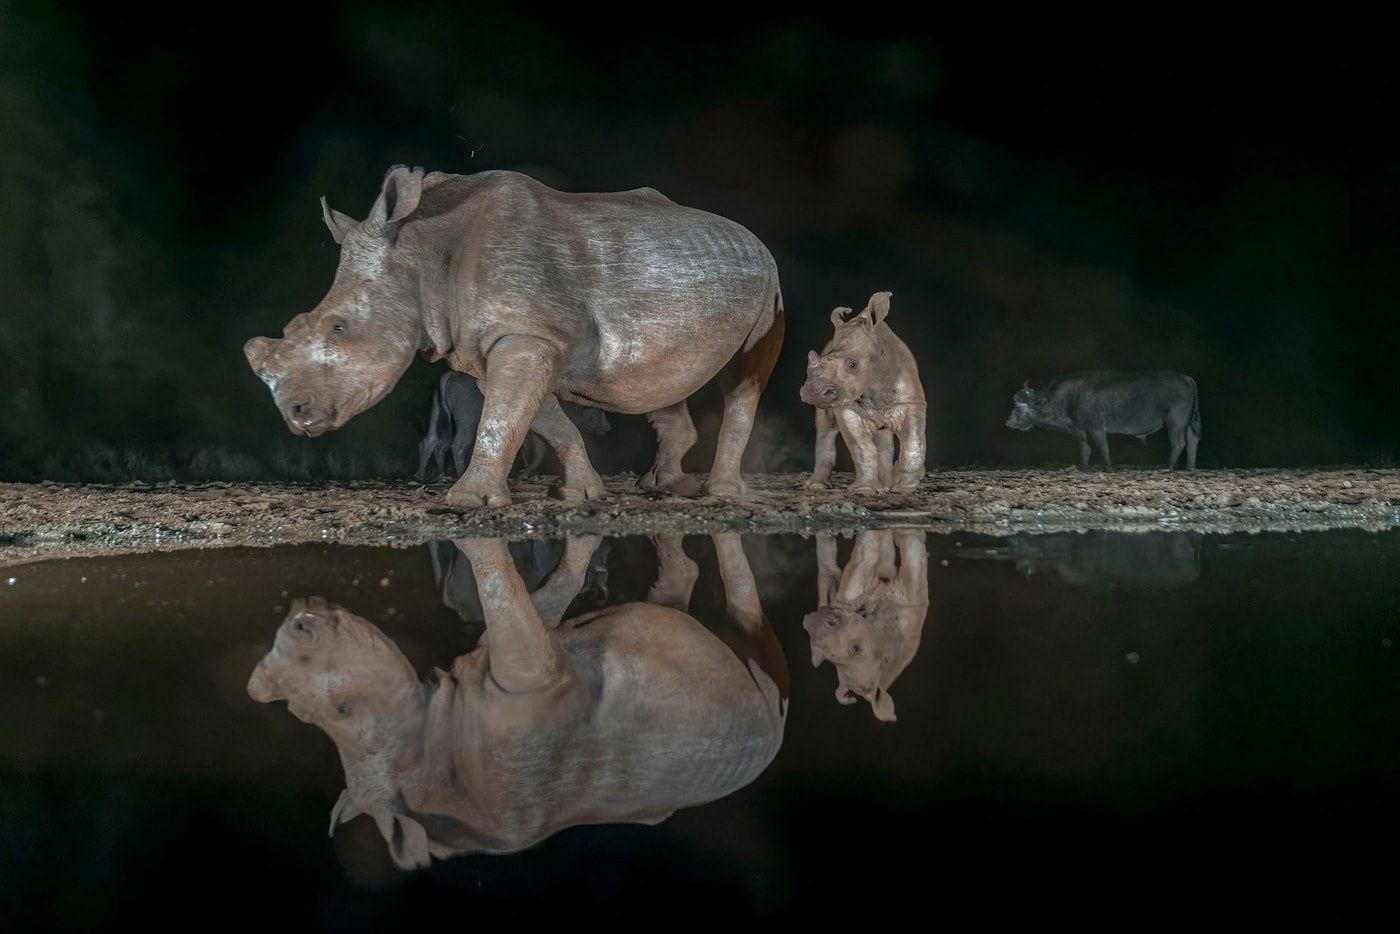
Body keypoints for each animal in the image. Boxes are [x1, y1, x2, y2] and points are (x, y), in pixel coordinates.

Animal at [247, 533, 787, 868]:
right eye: (344, 709)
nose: (298, 619)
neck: (426, 751)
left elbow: (524, 604)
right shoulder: (534, 683)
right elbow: (515, 605)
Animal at [416, 371, 611, 480]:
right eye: (598, 412)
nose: (608, 427)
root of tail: (451, 375)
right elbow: (539, 449)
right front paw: (526, 472)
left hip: (437, 413)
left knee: (432, 441)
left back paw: (427, 473)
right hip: (468, 419)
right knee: (457, 444)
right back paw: (460, 473)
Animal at [800, 292, 927, 493]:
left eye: (852, 365)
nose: (814, 391)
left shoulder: (911, 402)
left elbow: (913, 443)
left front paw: (905, 487)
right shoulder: (847, 406)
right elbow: (862, 447)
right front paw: (866, 490)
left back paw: (887, 485)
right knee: (825, 428)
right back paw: (817, 487)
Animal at [1004, 370, 1201, 469]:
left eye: (1018, 406)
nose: (1008, 422)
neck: (1071, 398)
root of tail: (1186, 378)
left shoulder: (1096, 428)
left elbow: (1102, 447)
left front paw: (1108, 467)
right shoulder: (1081, 431)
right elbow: (1085, 450)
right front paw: (1083, 467)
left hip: (1175, 422)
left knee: (1178, 443)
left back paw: (1167, 467)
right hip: (1188, 424)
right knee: (1192, 442)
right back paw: (1190, 467)